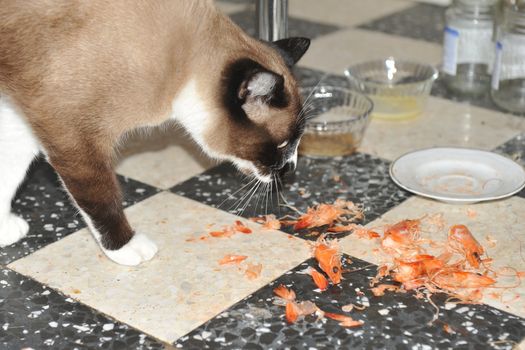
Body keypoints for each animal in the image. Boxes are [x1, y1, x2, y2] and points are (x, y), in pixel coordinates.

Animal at [0, 0, 310, 264]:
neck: (181, 67)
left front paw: (3, 230)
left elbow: (8, 176)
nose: (292, 169)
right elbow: (102, 200)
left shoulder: (26, 119)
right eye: (283, 145)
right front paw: (125, 247)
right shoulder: (74, 136)